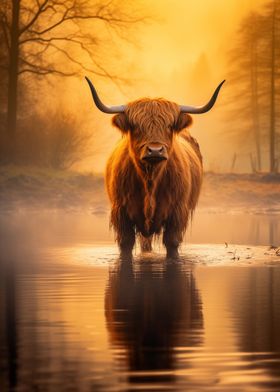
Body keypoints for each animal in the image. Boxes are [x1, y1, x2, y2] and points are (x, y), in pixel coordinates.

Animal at [85, 78, 225, 258]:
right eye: (136, 126)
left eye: (169, 126)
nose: (155, 150)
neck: (150, 180)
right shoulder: (121, 212)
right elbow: (126, 243)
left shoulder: (177, 213)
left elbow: (172, 243)